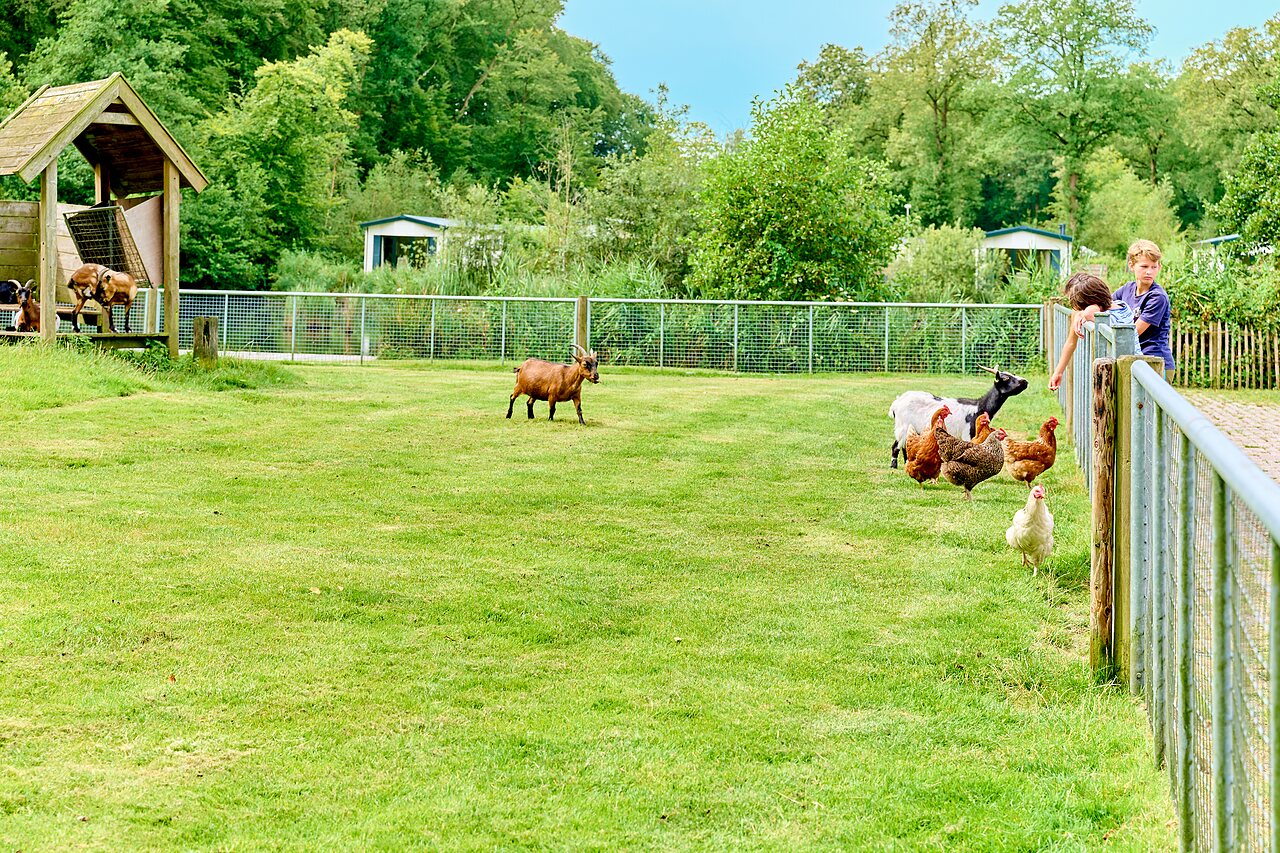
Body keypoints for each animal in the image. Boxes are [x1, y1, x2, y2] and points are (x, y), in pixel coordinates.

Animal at [887, 364, 1029, 468]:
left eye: (1013, 374)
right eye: (1006, 378)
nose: (1025, 381)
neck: (978, 407)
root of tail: (896, 402)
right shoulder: (967, 434)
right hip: (902, 426)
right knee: (896, 446)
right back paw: (894, 465)